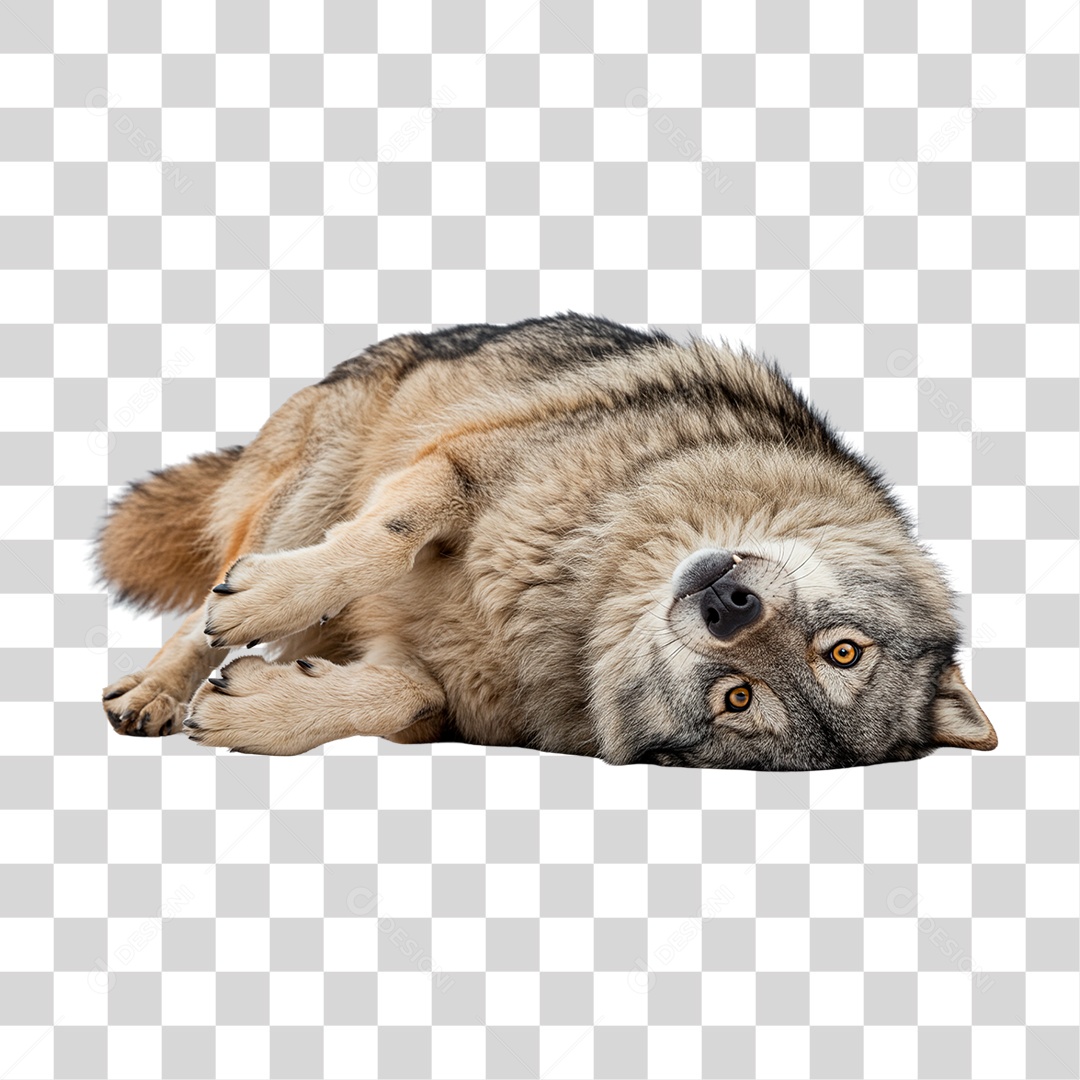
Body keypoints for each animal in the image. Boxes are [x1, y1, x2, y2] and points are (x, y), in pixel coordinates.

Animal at [96, 313, 996, 769]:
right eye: (844, 650)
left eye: (738, 698)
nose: (728, 604)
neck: (578, 581)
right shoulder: (457, 466)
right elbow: (379, 539)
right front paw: (265, 602)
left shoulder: (449, 700)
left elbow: (408, 696)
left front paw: (263, 710)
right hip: (317, 482)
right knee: (207, 606)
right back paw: (152, 692)